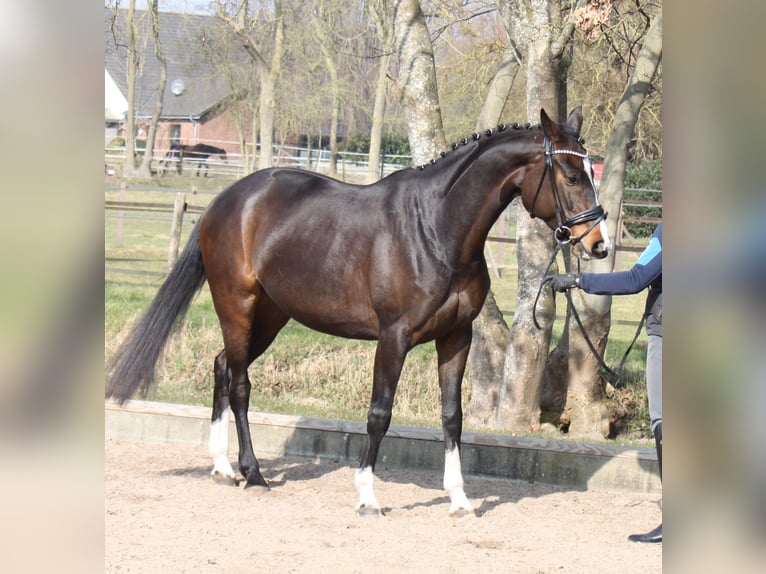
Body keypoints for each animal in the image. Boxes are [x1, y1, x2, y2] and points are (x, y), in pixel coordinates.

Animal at [106, 107, 612, 516]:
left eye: (591, 171)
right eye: (571, 175)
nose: (598, 244)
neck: (435, 228)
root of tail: (228, 199)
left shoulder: (456, 338)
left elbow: (452, 416)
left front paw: (459, 498)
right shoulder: (394, 338)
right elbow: (379, 413)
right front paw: (368, 496)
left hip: (271, 315)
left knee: (221, 368)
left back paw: (223, 467)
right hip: (237, 306)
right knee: (240, 383)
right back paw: (252, 473)